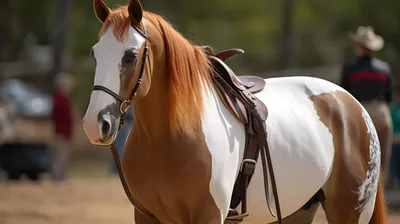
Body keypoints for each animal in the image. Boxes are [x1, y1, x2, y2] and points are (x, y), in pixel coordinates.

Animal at [83, 0, 388, 223]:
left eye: (131, 56)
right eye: (95, 53)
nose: (96, 124)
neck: (170, 136)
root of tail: (353, 106)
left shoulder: (208, 216)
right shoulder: (147, 216)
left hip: (350, 212)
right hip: (300, 210)